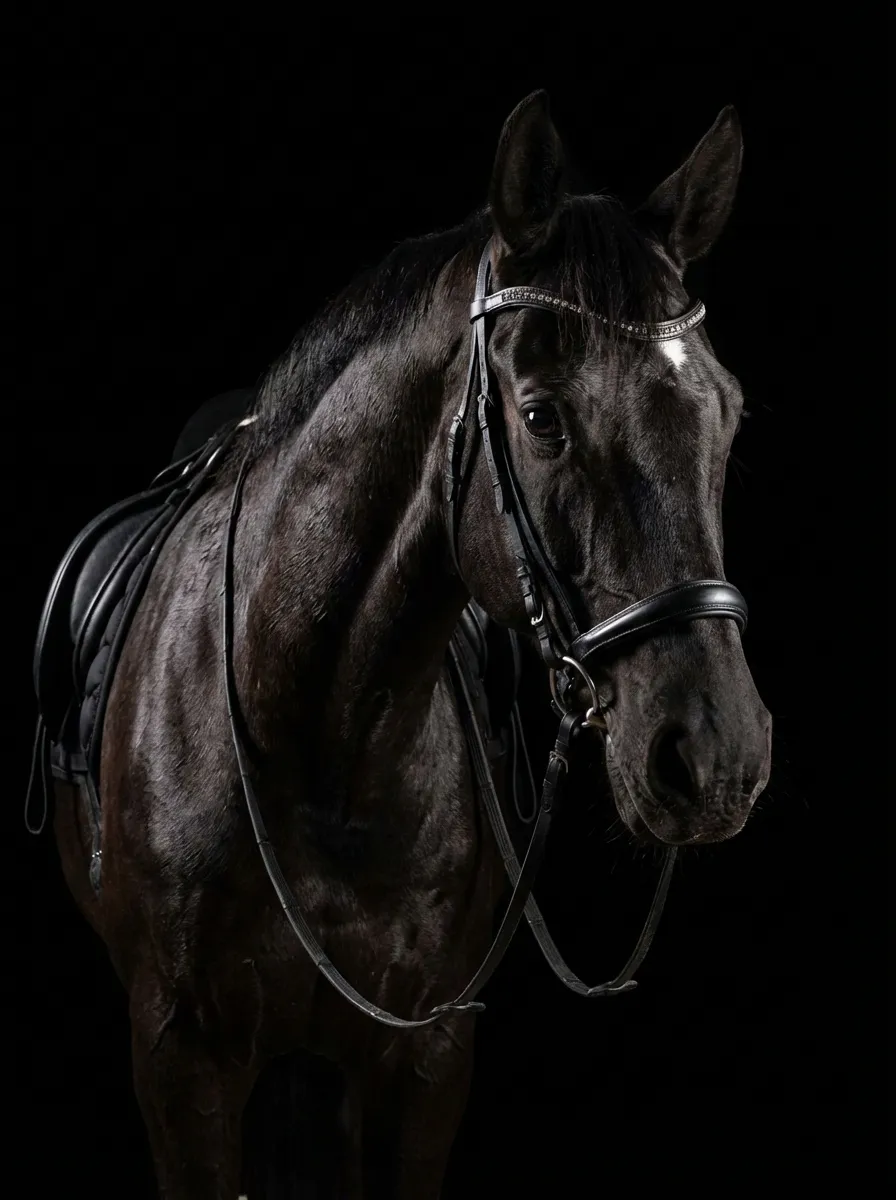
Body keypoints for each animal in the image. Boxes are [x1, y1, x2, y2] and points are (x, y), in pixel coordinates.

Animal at [31, 90, 772, 1197]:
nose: (716, 754)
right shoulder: (178, 1059)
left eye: (725, 414)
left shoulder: (422, 1061)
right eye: (541, 417)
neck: (323, 738)